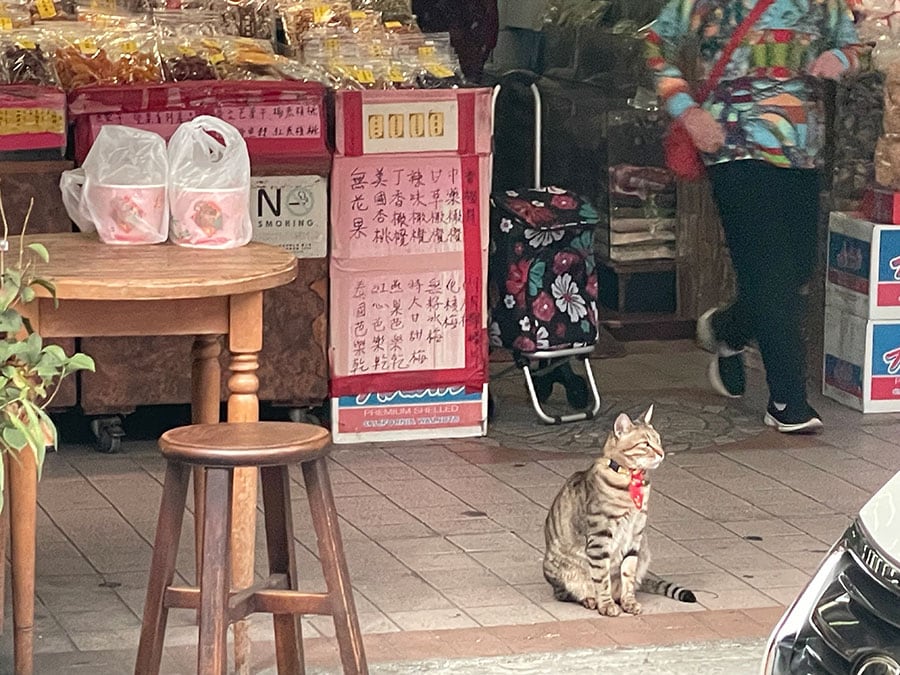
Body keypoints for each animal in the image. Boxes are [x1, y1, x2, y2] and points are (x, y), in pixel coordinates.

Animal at [540, 406, 696, 616]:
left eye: (658, 440)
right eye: (645, 444)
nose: (662, 453)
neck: (630, 478)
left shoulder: (635, 537)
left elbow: (628, 575)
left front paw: (629, 601)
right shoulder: (600, 538)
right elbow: (601, 578)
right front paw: (606, 605)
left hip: (644, 551)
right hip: (557, 568)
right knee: (566, 592)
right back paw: (590, 599)